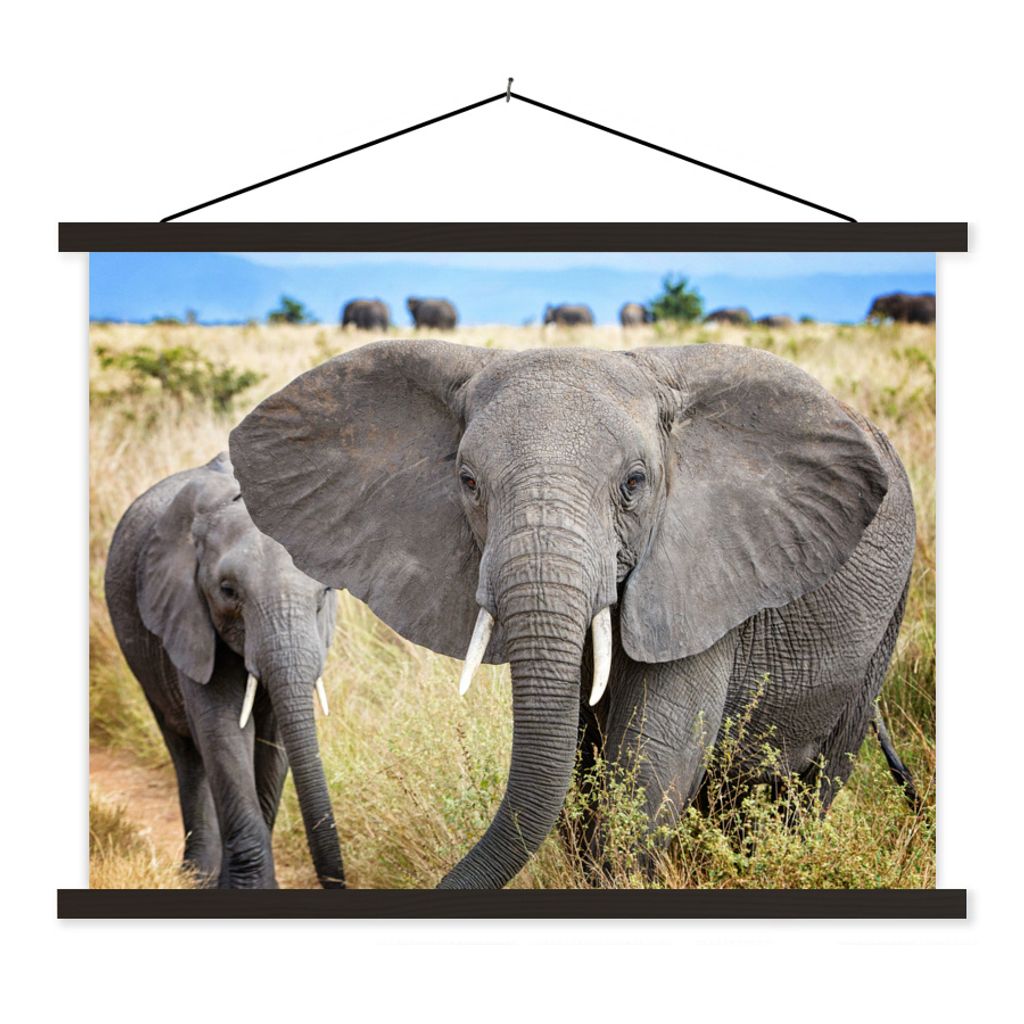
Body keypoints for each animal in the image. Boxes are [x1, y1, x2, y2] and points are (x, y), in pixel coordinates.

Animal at [104, 452, 343, 889]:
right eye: (228, 592)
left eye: (325, 594)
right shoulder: (187, 618)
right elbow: (223, 730)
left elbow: (274, 738)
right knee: (186, 752)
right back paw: (196, 877)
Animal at [230, 340, 919, 890]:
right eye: (468, 481)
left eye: (634, 484)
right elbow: (575, 765)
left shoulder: (698, 576)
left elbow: (651, 760)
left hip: (885, 619)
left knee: (817, 781)